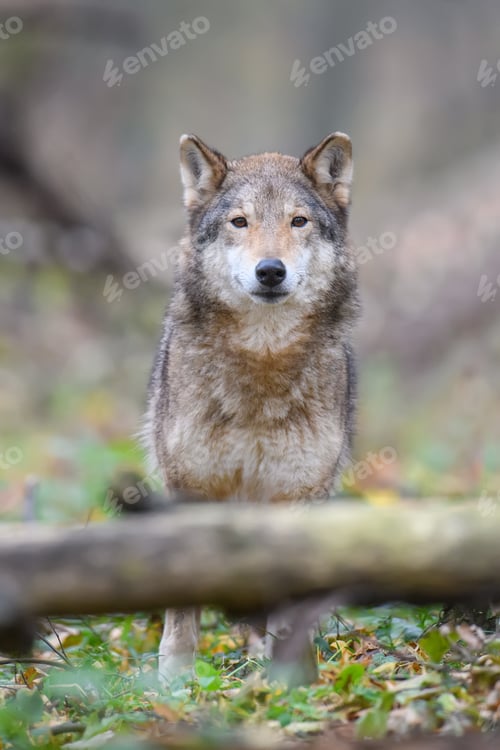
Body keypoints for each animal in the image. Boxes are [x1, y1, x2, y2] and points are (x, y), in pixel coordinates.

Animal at [143, 132, 359, 684]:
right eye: (240, 222)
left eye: (297, 221)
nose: (270, 271)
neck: (262, 362)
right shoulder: (190, 489)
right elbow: (181, 615)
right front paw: (173, 687)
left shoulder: (299, 494)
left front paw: (292, 684)